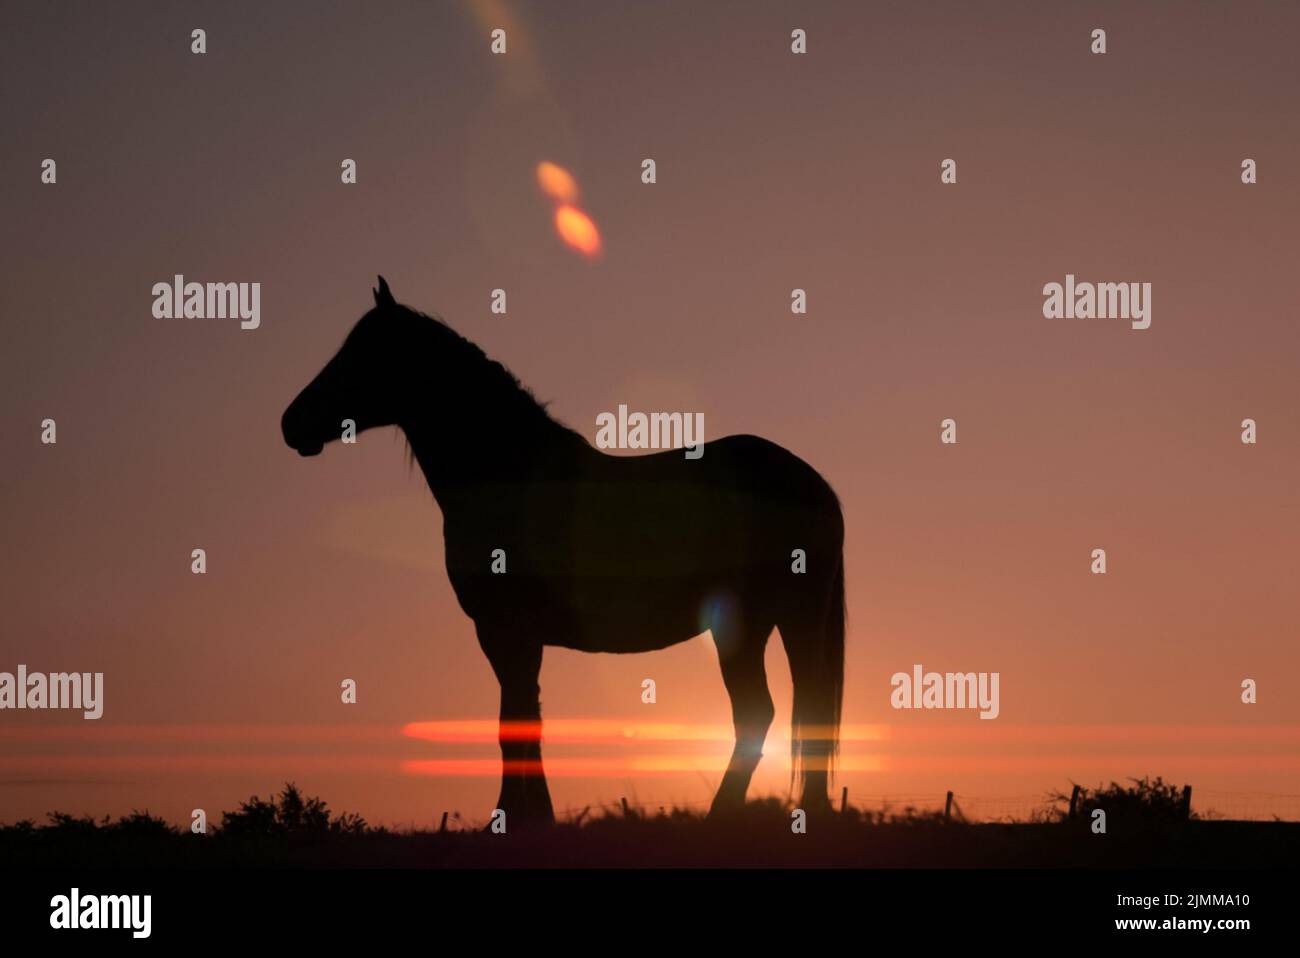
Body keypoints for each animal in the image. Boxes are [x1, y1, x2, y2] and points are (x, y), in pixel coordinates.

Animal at [281, 277, 846, 825]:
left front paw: (512, 819)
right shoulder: (519, 636)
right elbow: (525, 719)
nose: (291, 422)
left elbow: (512, 722)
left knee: (766, 711)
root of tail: (812, 482)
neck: (509, 475)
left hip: (759, 622)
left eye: (361, 353)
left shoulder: (504, 629)